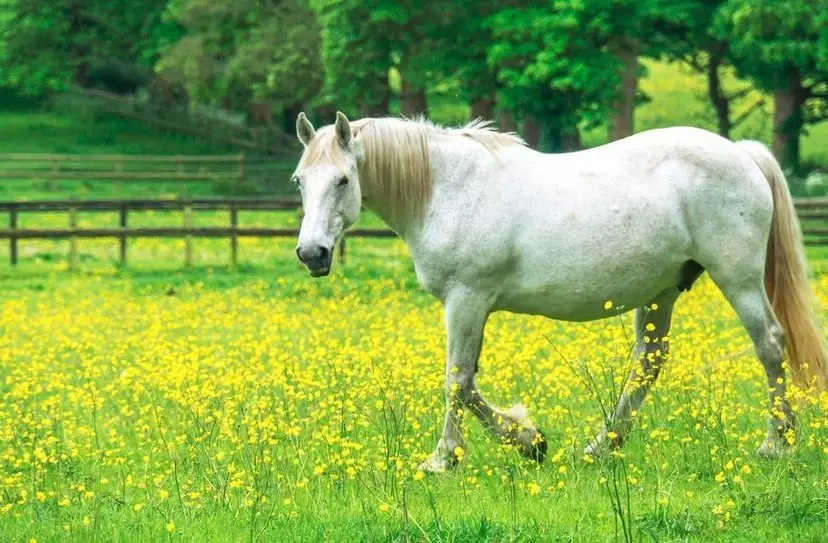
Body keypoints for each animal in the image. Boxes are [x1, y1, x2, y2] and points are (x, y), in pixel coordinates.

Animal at [292, 111, 828, 472]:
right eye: (300, 181)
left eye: (343, 179)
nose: (312, 253)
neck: (449, 189)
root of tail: (741, 153)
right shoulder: (473, 306)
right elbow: (468, 384)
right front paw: (528, 439)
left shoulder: (466, 300)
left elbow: (457, 383)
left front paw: (449, 458)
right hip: (662, 291)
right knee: (648, 364)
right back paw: (602, 446)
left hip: (736, 278)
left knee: (770, 346)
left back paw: (776, 444)